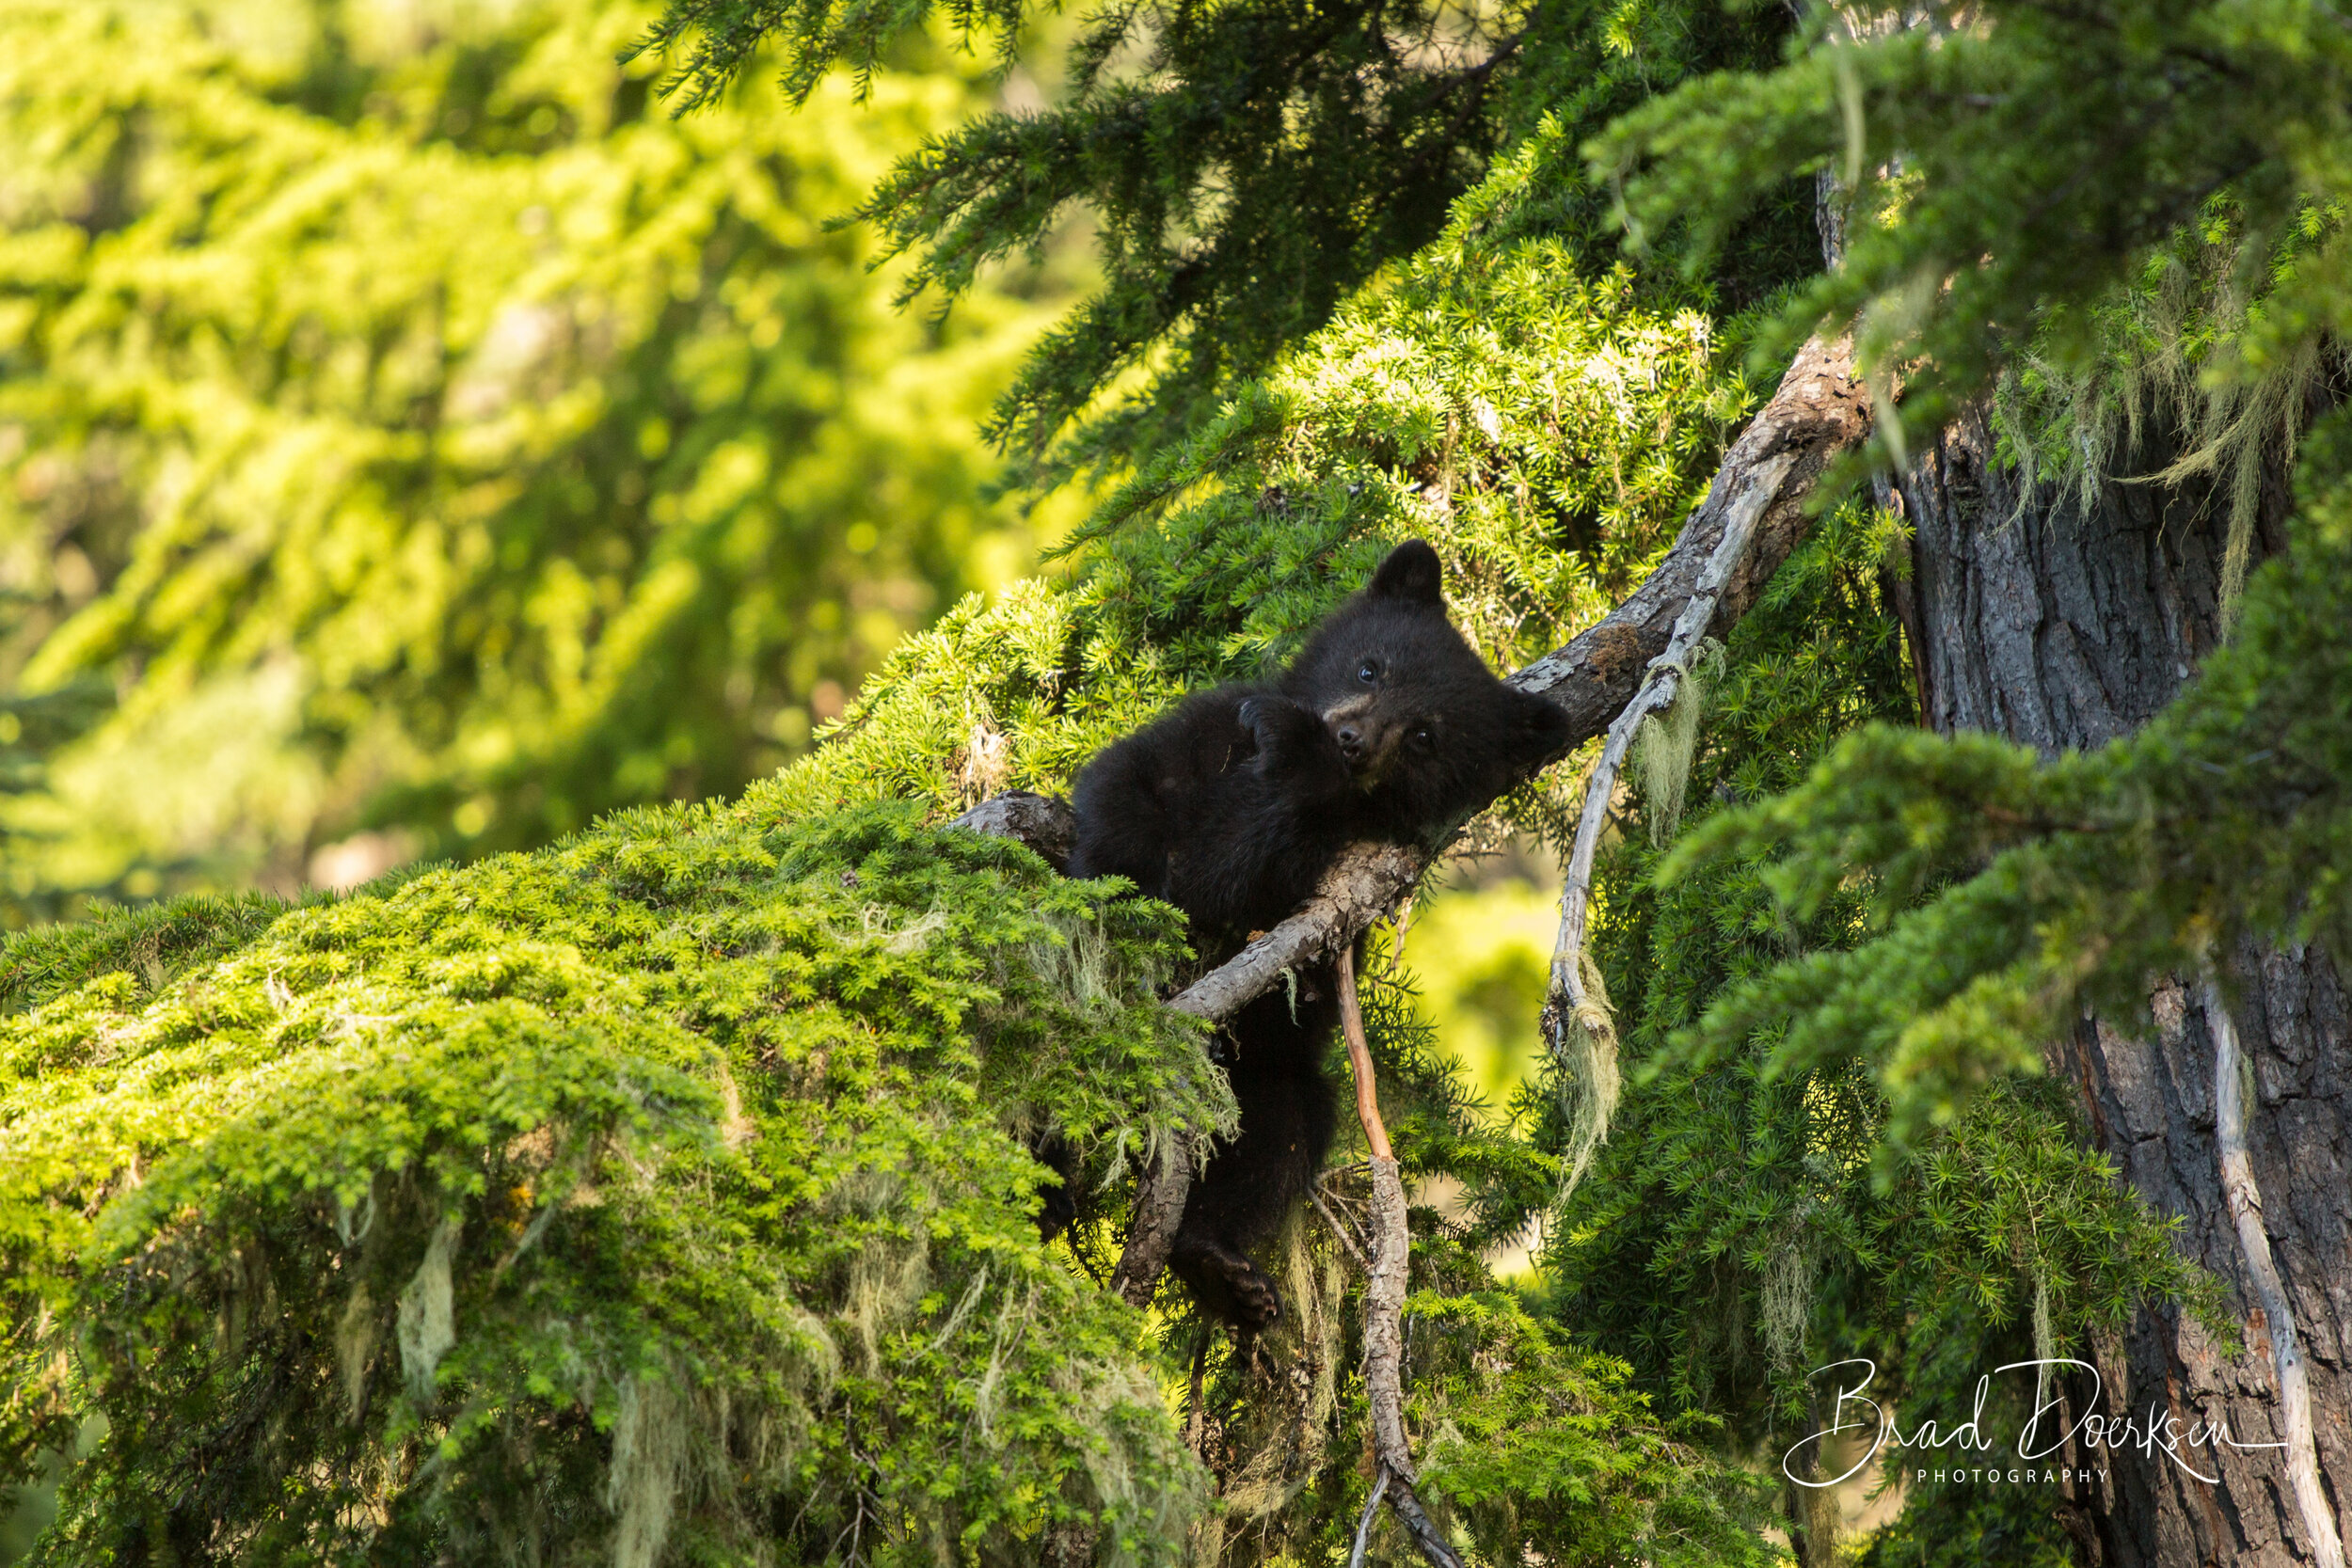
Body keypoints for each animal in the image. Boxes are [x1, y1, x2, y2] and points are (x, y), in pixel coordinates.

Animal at [1065, 539, 1572, 1328]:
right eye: (1370, 667)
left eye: (1425, 735)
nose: (1351, 737)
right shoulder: (1197, 737)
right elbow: (1147, 821)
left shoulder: (1322, 847)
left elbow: (1225, 875)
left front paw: (1300, 755)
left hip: (1269, 1078)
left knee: (1282, 1129)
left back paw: (1220, 1265)